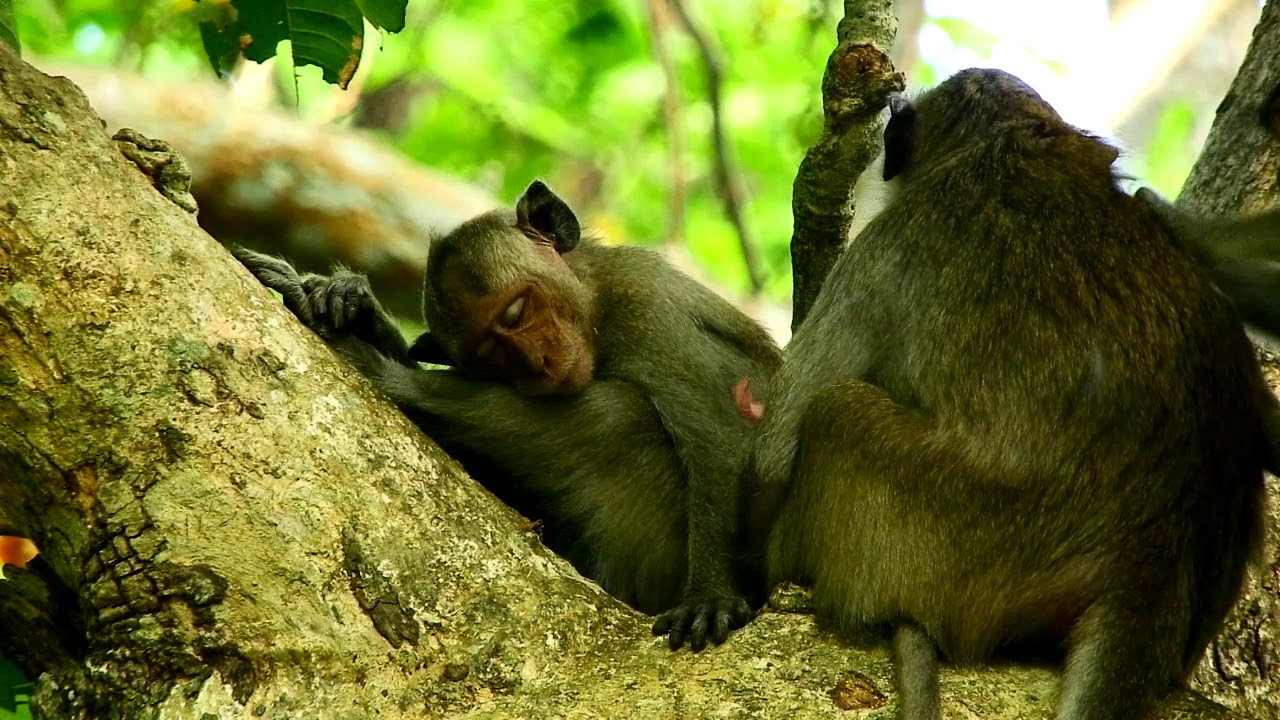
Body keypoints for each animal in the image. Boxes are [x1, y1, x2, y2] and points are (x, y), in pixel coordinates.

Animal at [233, 180, 782, 651]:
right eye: (489, 354)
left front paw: (711, 596)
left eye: (516, 313)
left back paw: (386, 373)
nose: (537, 363)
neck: (596, 301)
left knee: (619, 416)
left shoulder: (650, 315)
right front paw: (353, 302)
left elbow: (721, 442)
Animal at [740, 68, 1270, 720]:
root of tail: (1151, 567)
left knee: (835, 411)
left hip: (953, 537)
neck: (1023, 143)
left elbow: (772, 456)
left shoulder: (892, 241)